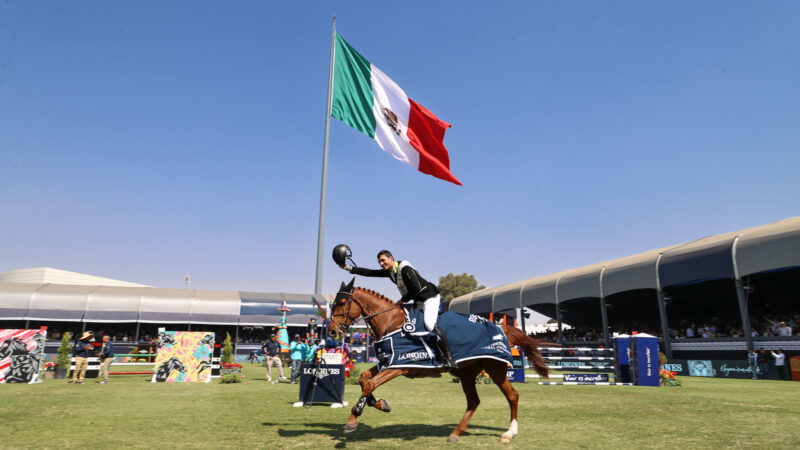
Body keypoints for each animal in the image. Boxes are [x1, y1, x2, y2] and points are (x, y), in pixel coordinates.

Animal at [328, 280, 548, 444]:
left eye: (341, 302)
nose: (331, 332)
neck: (392, 322)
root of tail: (501, 328)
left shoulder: (400, 366)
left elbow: (370, 384)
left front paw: (353, 419)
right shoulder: (388, 362)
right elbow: (364, 379)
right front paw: (380, 404)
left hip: (495, 369)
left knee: (512, 396)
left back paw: (509, 433)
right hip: (468, 373)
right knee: (474, 401)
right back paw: (455, 434)